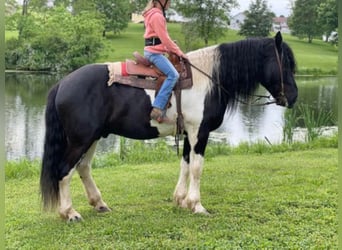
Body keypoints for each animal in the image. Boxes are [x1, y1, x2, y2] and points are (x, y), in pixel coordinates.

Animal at [40, 32, 296, 222]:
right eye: (285, 64)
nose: (293, 98)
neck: (209, 79)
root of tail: (63, 82)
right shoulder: (199, 132)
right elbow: (197, 168)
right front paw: (197, 205)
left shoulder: (188, 134)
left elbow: (185, 164)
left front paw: (181, 200)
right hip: (80, 140)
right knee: (64, 170)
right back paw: (70, 213)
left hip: (92, 137)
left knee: (83, 168)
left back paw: (99, 204)